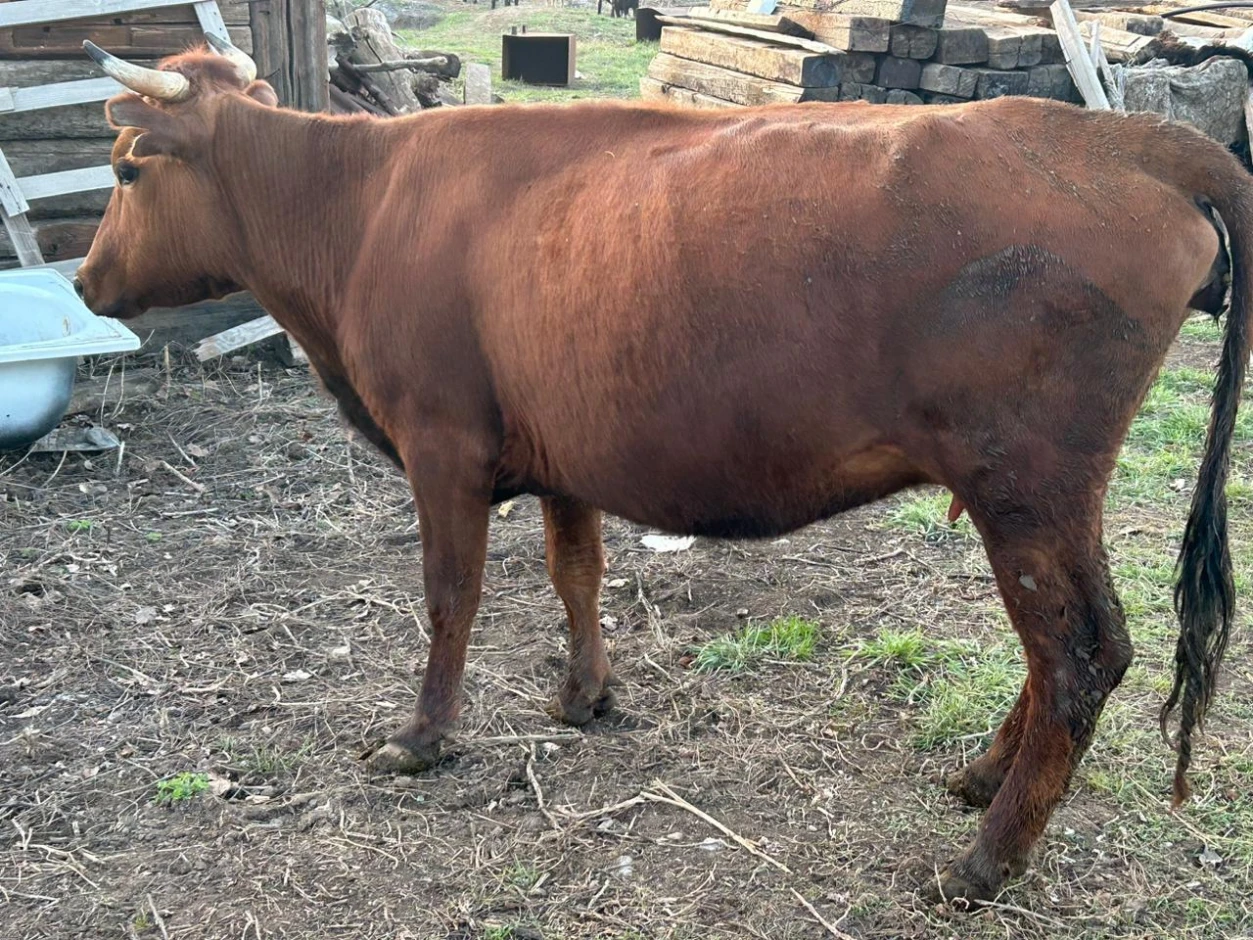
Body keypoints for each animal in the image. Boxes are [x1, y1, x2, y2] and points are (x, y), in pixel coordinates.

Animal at [75, 37, 1248, 904]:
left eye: (127, 166)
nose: (84, 283)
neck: (357, 205)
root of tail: (1129, 138)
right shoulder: (558, 449)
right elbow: (575, 573)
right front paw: (583, 695)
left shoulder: (440, 444)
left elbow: (451, 596)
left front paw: (421, 738)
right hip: (1026, 495)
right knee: (1064, 654)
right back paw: (977, 777)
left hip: (1028, 482)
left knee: (1081, 653)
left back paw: (984, 860)